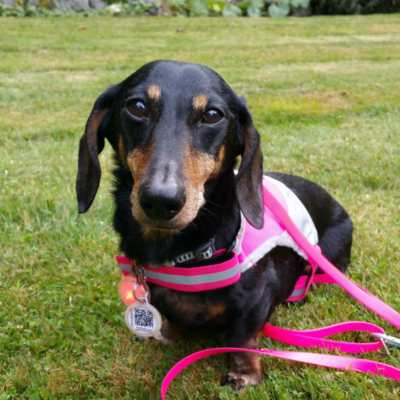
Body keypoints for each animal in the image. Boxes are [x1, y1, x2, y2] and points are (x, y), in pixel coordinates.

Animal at [76, 60, 352, 390]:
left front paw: (243, 373)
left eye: (212, 115)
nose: (161, 200)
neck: (181, 254)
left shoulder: (256, 299)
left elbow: (242, 336)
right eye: (137, 107)